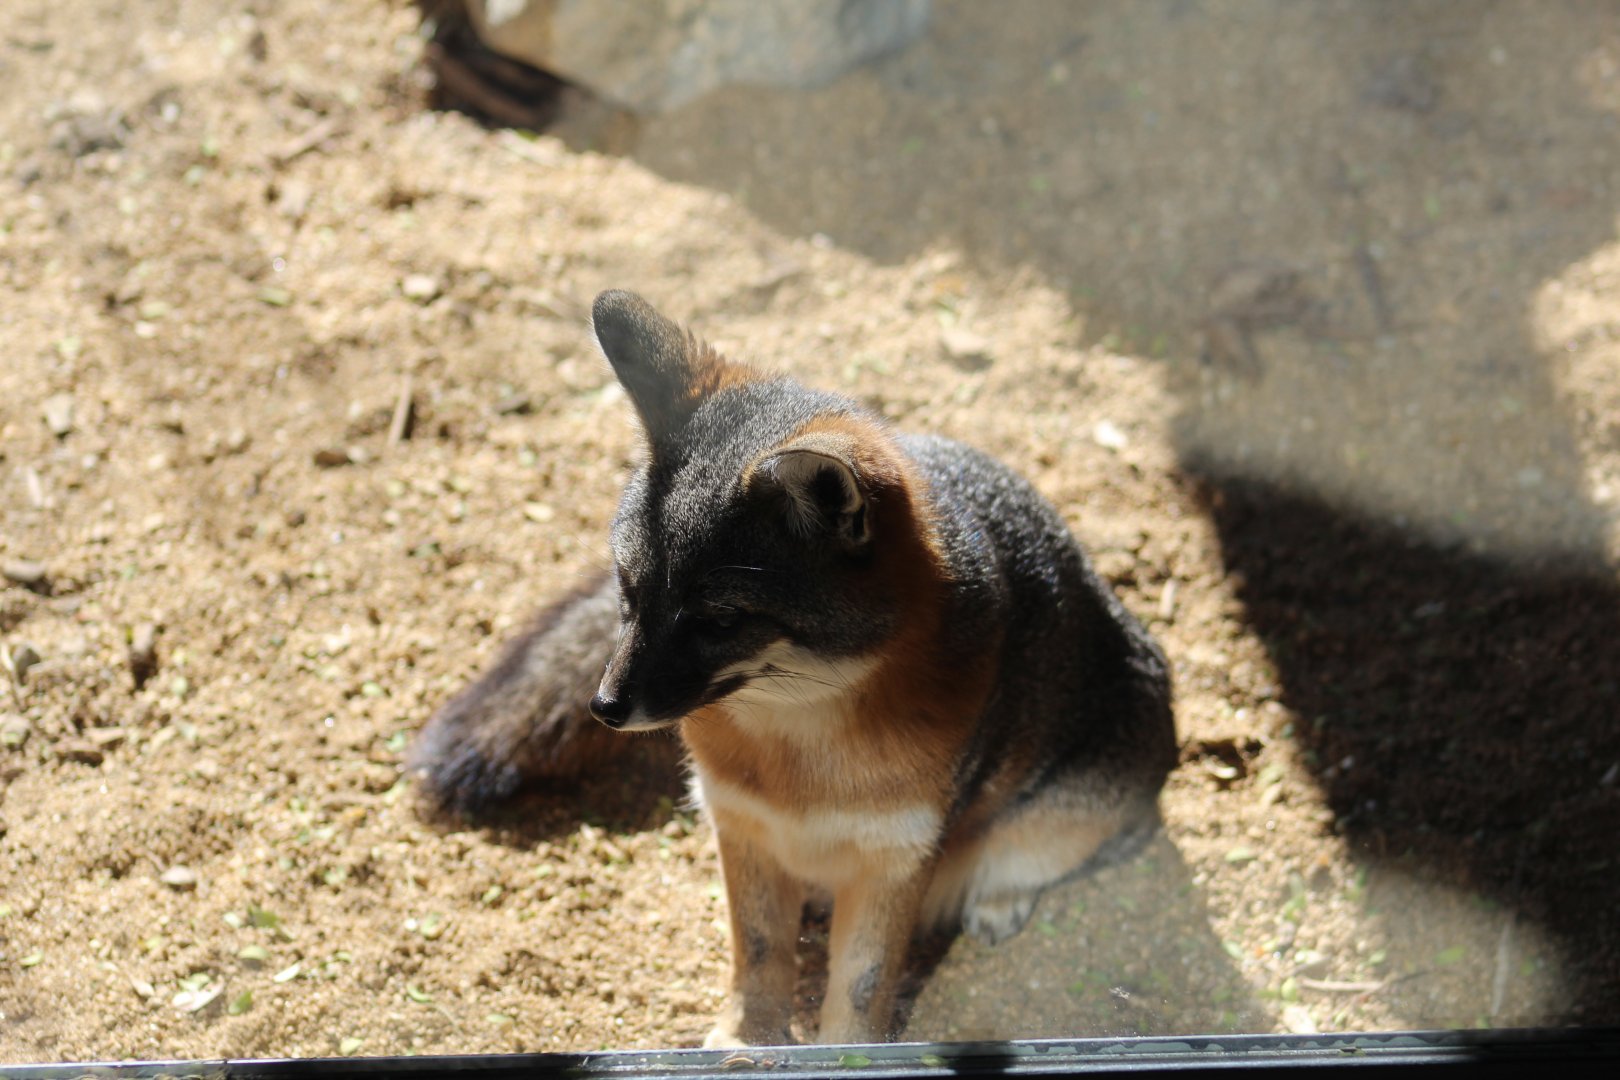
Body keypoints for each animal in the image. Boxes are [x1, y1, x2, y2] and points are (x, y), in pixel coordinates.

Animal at [411, 290, 1178, 1046]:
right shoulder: (739, 824)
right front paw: (745, 1042)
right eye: (628, 591)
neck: (794, 762)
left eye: (720, 620)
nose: (605, 706)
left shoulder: (896, 860)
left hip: (1075, 804)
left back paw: (997, 899)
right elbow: (758, 954)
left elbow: (862, 989)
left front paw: (845, 1057)